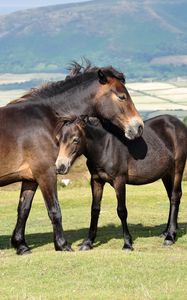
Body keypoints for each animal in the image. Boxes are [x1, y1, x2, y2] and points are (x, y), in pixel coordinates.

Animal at [0, 62, 143, 254]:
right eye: (122, 96)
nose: (138, 126)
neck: (47, 120)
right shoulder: (46, 173)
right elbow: (54, 210)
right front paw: (62, 245)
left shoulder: (30, 178)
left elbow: (23, 210)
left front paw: (21, 245)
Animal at [55, 115, 187, 251]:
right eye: (58, 139)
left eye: (75, 140)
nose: (60, 167)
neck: (105, 146)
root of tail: (178, 123)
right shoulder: (96, 181)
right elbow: (95, 209)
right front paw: (88, 242)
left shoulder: (119, 181)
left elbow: (122, 211)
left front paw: (127, 243)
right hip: (166, 174)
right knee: (171, 197)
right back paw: (166, 232)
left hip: (177, 168)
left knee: (175, 197)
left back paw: (170, 237)